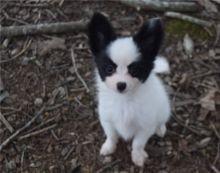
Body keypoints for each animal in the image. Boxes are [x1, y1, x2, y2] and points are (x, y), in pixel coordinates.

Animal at [87, 12, 170, 167]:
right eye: (109, 69)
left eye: (134, 70)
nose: (121, 85)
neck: (124, 100)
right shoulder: (107, 119)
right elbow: (111, 135)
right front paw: (109, 147)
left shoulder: (145, 126)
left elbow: (138, 143)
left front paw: (137, 156)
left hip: (163, 108)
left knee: (162, 119)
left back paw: (160, 128)